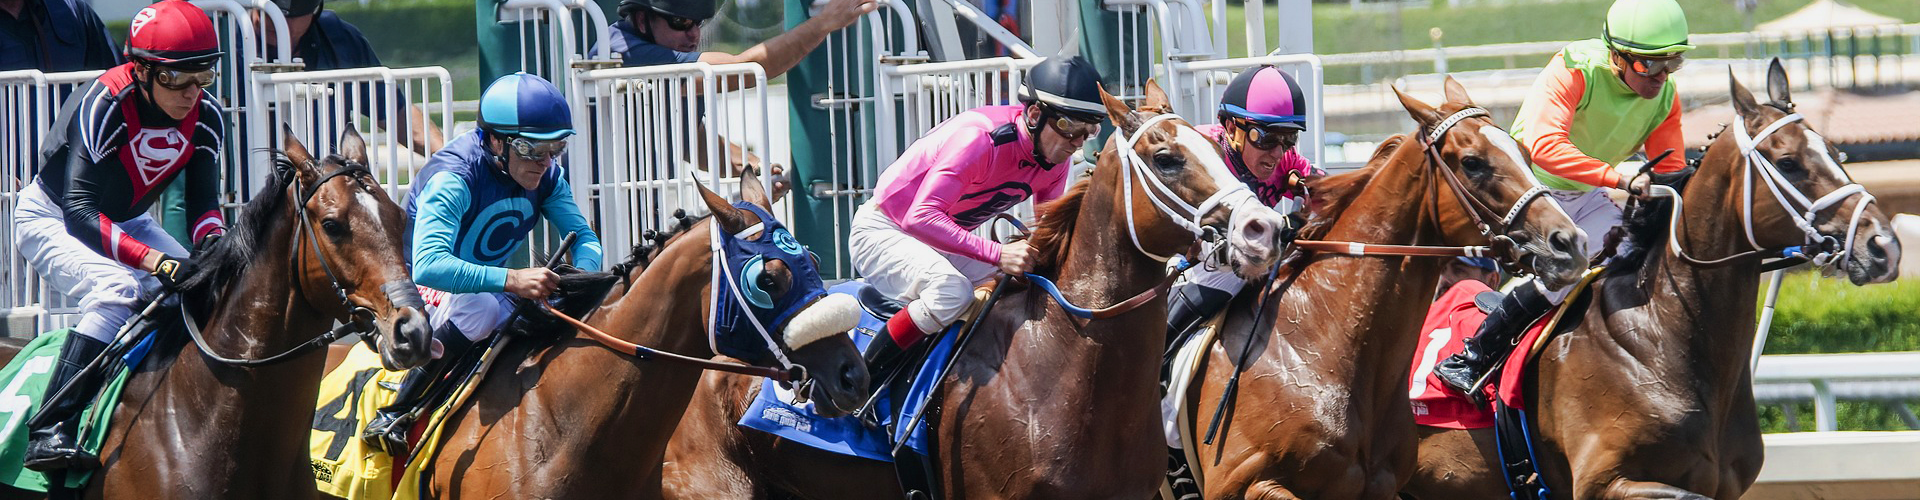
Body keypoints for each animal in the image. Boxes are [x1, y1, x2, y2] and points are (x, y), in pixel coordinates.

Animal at [1167, 77, 1589, 500]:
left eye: (1525, 154)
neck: (1319, 345)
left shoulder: (1381, 486)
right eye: (1472, 162)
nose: (1568, 243)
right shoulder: (1239, 482)